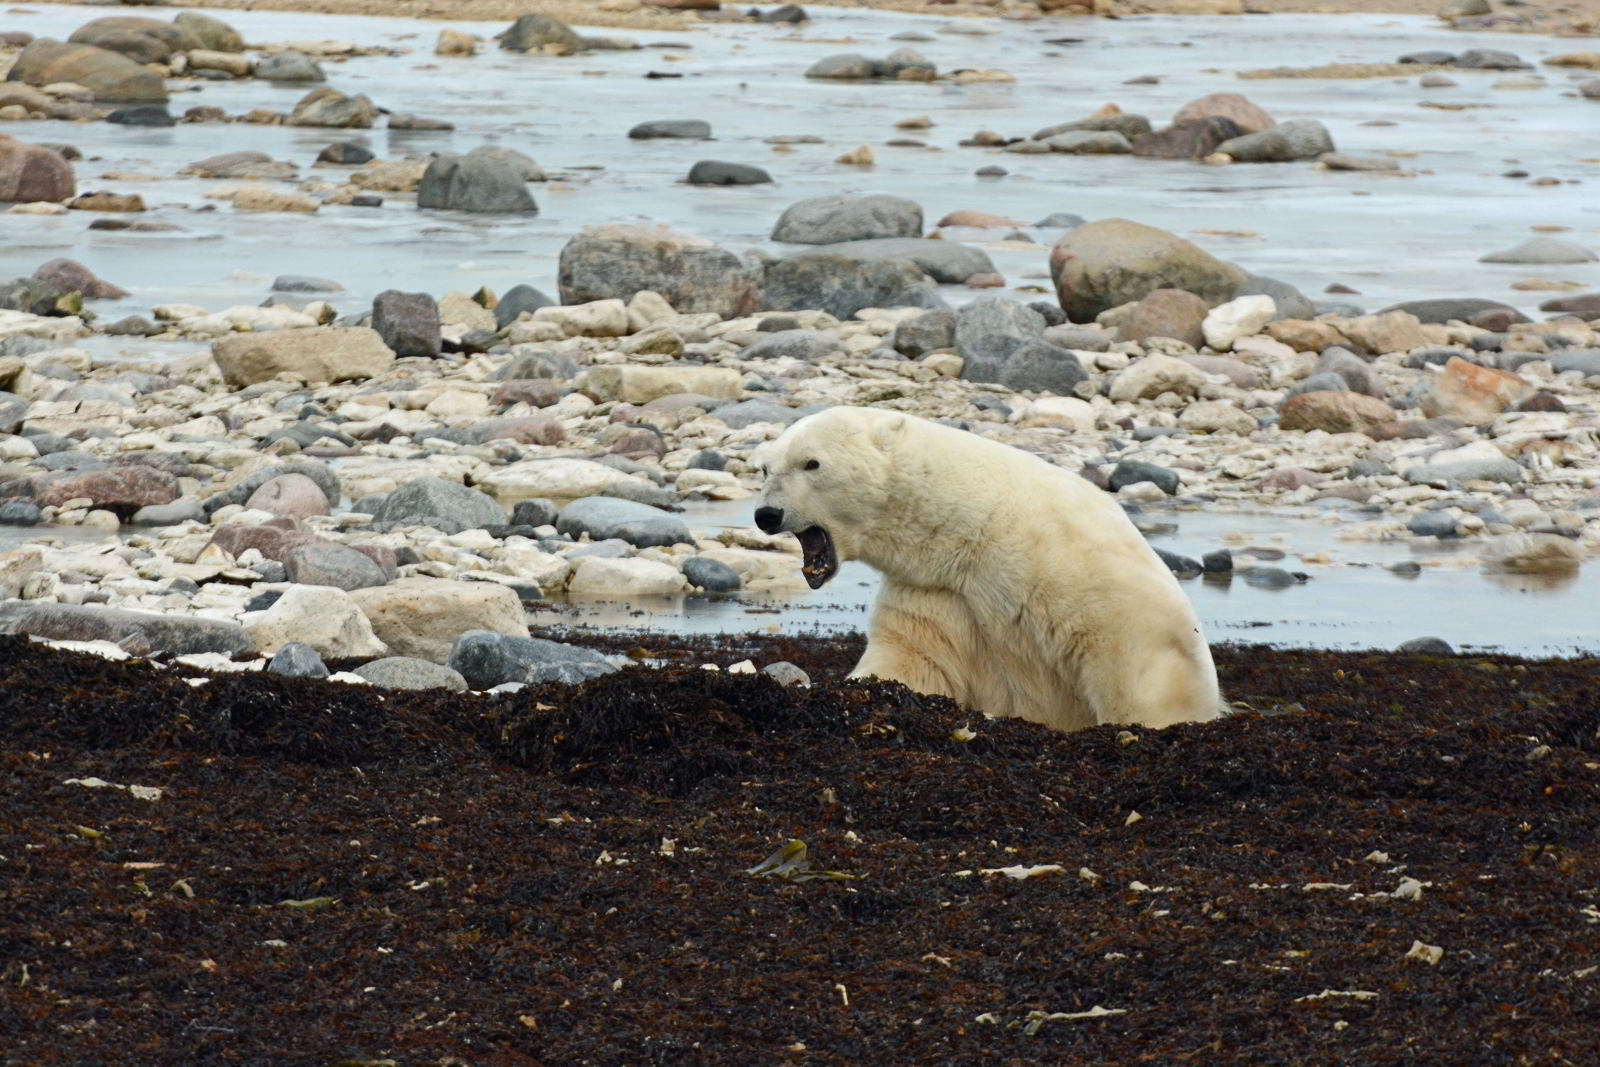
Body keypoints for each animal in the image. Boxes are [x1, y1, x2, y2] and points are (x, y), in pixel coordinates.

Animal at [755, 404, 1216, 729]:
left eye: (811, 462)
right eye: (764, 466)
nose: (766, 514)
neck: (973, 524)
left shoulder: (1086, 578)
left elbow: (1140, 674)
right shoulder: (938, 590)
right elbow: (912, 660)